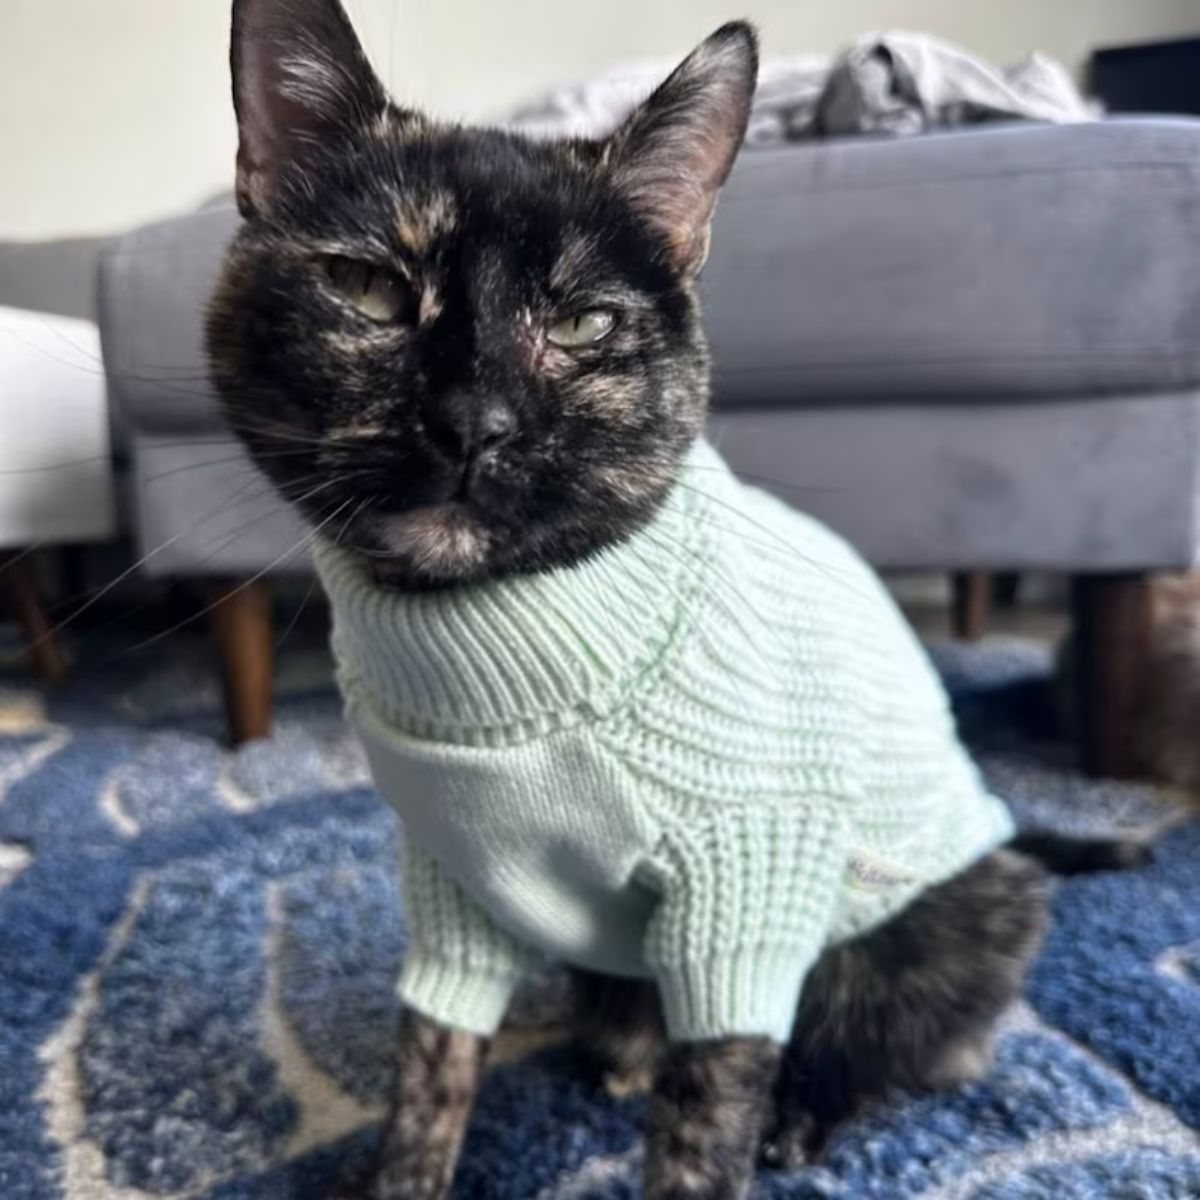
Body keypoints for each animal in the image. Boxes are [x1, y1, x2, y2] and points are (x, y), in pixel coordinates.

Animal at [211, 4, 1147, 1195]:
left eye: (584, 325)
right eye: (369, 288)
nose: (474, 423)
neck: (493, 640)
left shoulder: (745, 888)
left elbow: (709, 1110)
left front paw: (720, 1132)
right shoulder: (452, 879)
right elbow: (430, 1061)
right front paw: (407, 1170)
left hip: (946, 917)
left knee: (901, 1040)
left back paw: (800, 1112)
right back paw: (618, 1050)